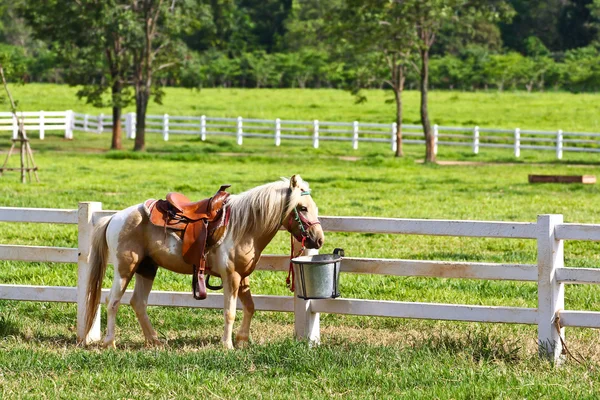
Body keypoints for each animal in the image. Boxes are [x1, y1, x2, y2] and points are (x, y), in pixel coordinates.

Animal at [81, 173, 324, 348]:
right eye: (303, 208)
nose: (319, 239)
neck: (244, 227)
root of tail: (115, 217)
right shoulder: (231, 277)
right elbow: (230, 311)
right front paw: (227, 345)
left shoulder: (243, 277)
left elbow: (250, 307)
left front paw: (242, 341)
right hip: (125, 269)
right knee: (112, 301)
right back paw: (110, 343)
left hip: (147, 268)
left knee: (138, 302)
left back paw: (155, 341)